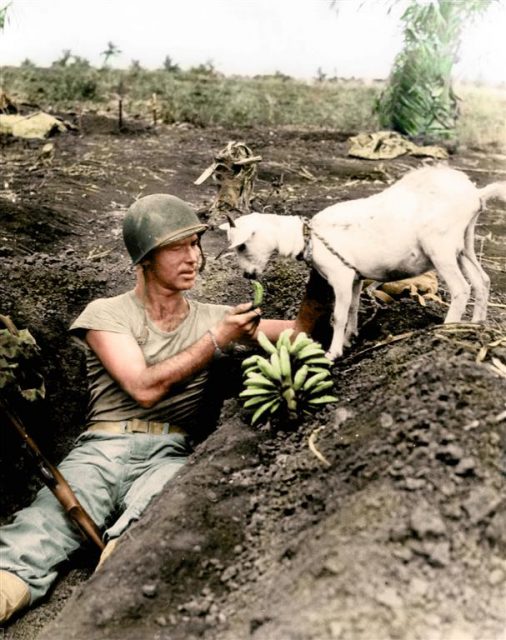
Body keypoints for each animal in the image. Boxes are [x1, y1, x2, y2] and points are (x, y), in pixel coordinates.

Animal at [220, 165, 506, 360]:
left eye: (242, 245)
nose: (247, 276)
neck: (307, 237)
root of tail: (476, 194)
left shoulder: (340, 276)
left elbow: (338, 315)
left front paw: (333, 352)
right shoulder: (355, 278)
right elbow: (353, 309)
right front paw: (349, 339)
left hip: (441, 247)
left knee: (461, 288)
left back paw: (447, 329)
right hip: (464, 245)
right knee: (482, 281)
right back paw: (475, 325)